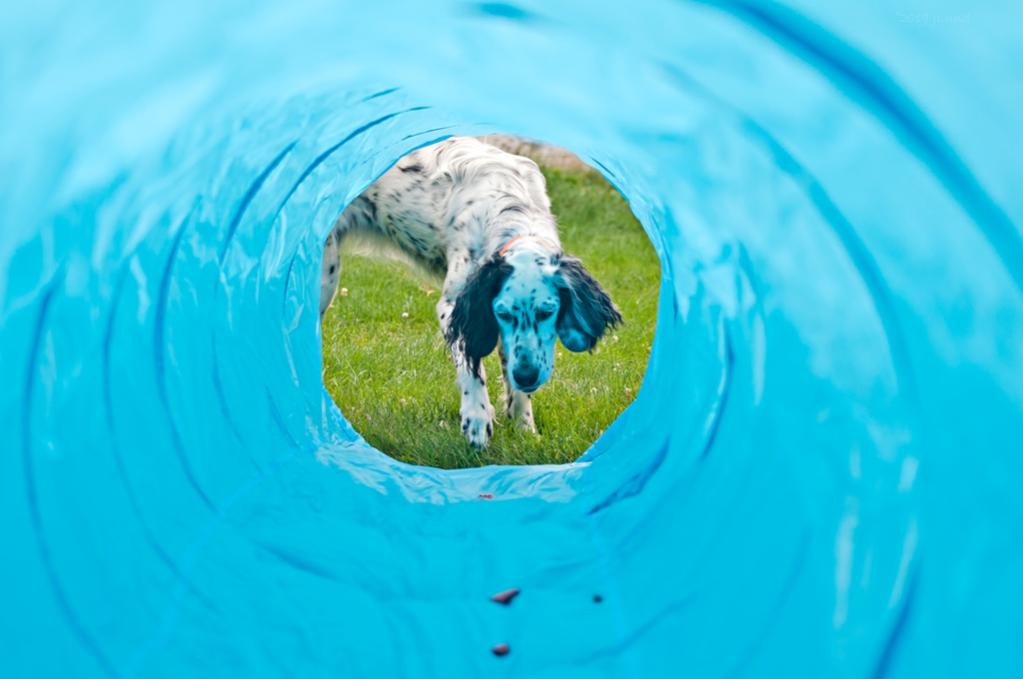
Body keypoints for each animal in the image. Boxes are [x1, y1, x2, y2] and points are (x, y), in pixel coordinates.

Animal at [321, 134, 621, 447]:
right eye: (503, 313)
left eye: (547, 312)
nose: (528, 376)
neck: (510, 208)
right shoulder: (455, 307)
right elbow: (472, 366)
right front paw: (477, 420)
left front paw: (525, 429)